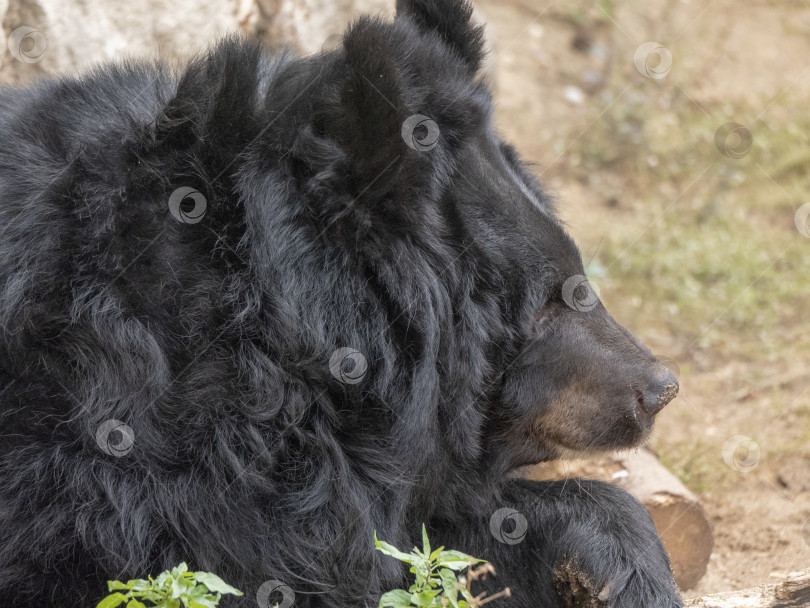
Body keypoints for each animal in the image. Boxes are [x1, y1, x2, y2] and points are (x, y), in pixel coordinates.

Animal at [0, 0, 680, 604]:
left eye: (578, 280)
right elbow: (300, 553)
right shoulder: (127, 452)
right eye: (541, 307)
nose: (659, 388)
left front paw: (618, 570)